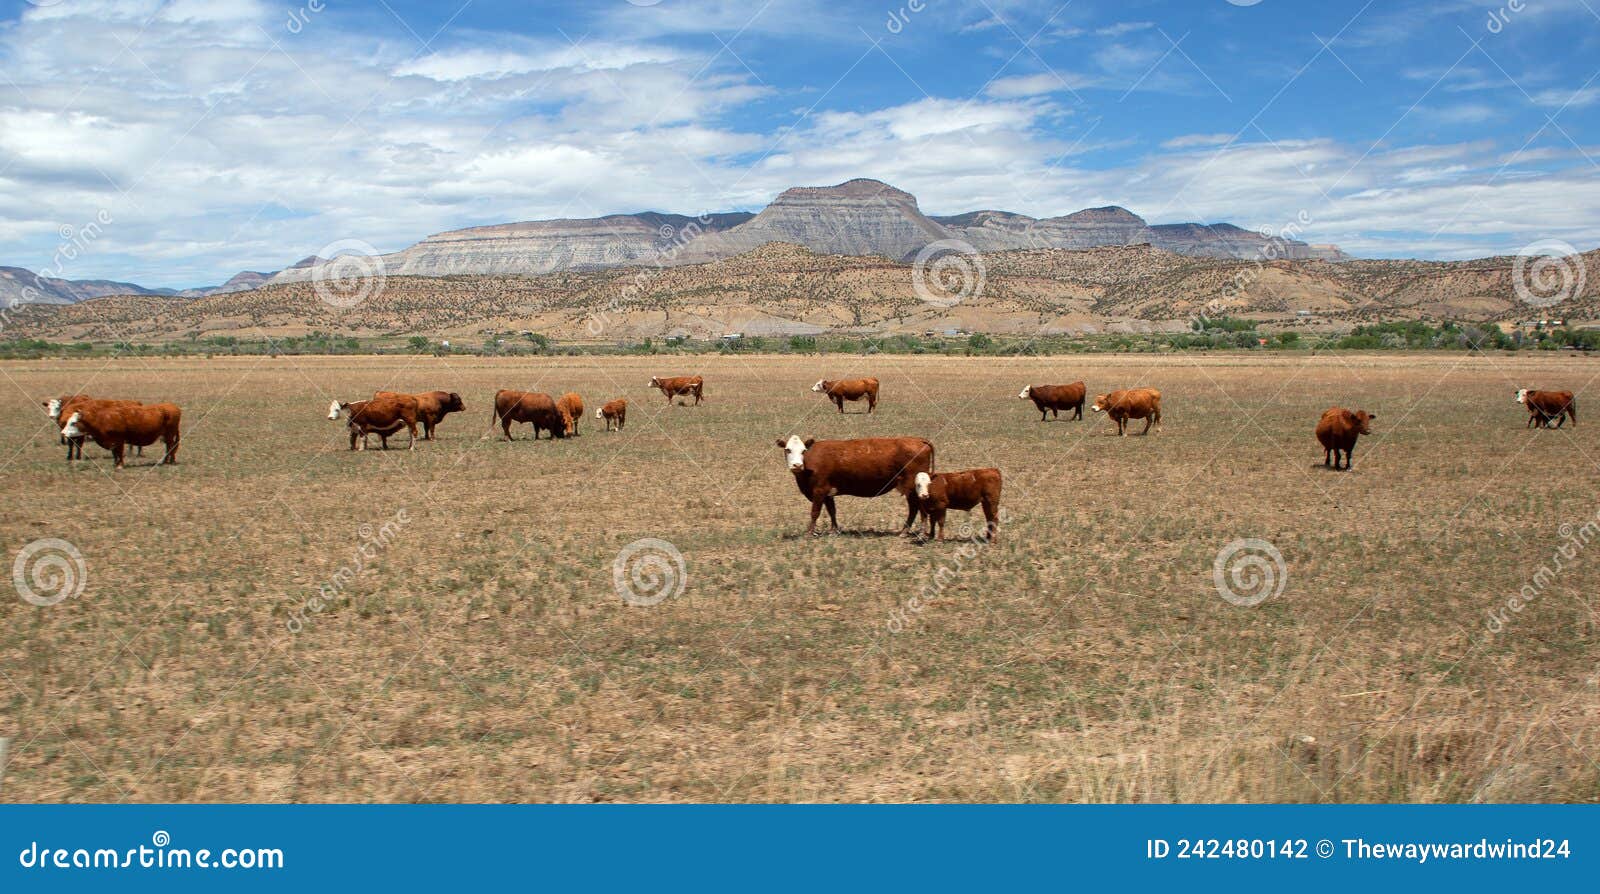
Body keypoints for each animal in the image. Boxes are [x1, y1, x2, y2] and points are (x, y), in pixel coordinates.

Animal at [777, 435, 934, 534]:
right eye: (787, 449)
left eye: (803, 450)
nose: (797, 465)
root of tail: (919, 440)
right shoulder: (828, 493)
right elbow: (832, 511)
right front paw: (834, 530)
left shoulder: (819, 490)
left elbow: (815, 512)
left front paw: (809, 532)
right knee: (915, 508)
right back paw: (906, 530)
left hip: (913, 487)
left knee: (916, 508)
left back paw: (914, 531)